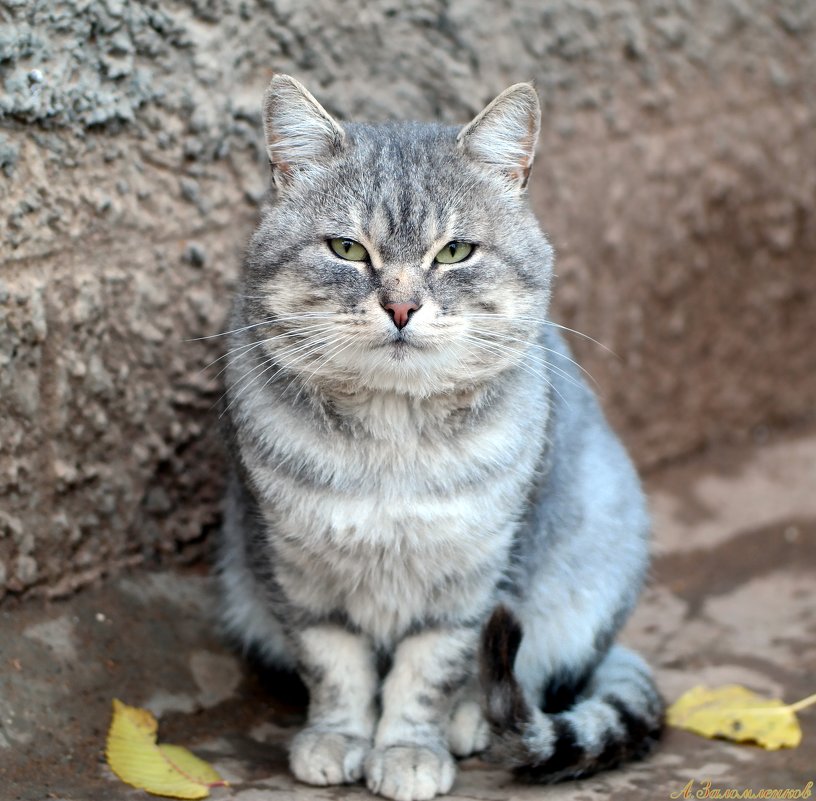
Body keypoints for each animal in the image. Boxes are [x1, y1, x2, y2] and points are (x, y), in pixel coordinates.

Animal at [218, 72, 664, 796]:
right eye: (347, 248)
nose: (401, 306)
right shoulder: (292, 565)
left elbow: (430, 672)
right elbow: (333, 664)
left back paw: (472, 721)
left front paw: (408, 748)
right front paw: (339, 737)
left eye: (455, 252)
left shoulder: (475, 576)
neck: (393, 436)